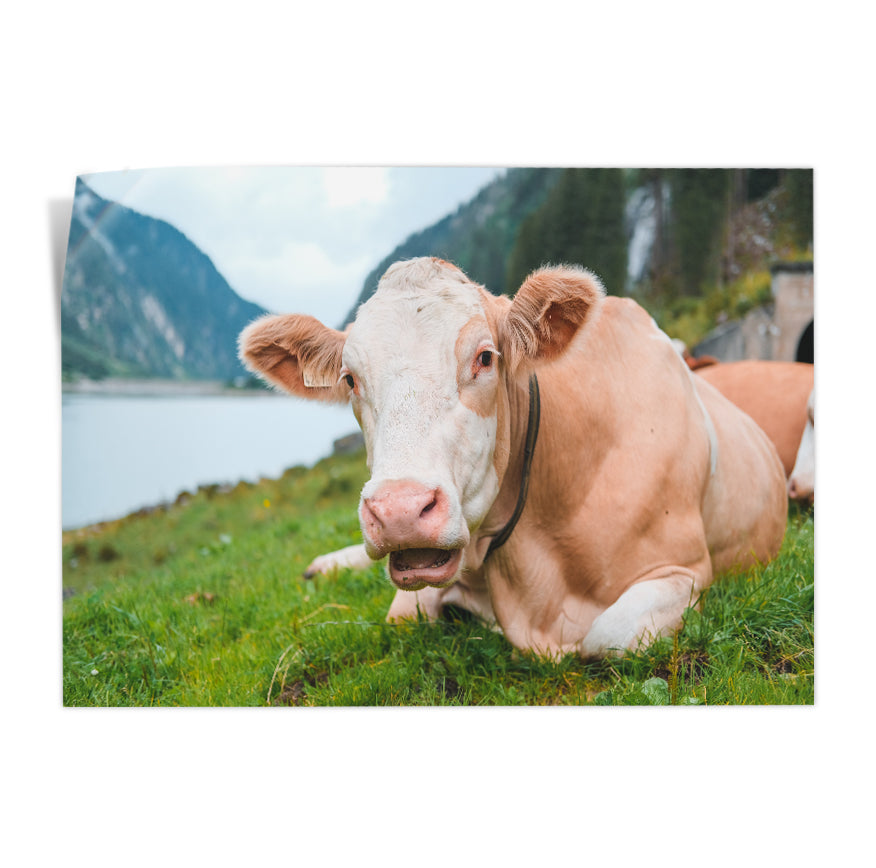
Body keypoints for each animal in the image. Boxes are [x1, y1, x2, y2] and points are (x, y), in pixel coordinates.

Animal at [239, 257, 787, 659]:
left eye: (485, 358)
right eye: (351, 378)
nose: (399, 511)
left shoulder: (685, 570)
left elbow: (606, 637)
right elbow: (403, 614)